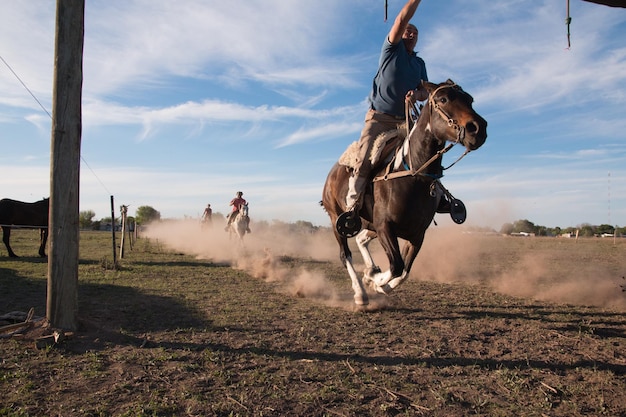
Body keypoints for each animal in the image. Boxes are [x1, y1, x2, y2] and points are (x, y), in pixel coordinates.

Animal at [322, 79, 488, 306]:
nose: (478, 129)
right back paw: (360, 293)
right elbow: (396, 266)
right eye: (443, 99)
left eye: (470, 99)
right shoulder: (385, 226)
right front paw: (375, 281)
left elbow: (404, 271)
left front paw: (376, 281)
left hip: (369, 224)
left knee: (362, 239)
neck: (412, 174)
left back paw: (370, 272)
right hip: (337, 219)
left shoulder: (417, 234)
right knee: (345, 254)